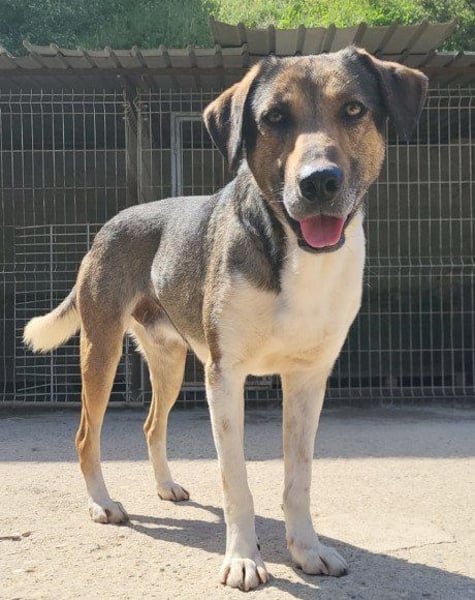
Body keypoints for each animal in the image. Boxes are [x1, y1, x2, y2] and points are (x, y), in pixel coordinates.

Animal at [24, 47, 427, 590]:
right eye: (274, 117)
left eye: (353, 109)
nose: (319, 182)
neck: (292, 255)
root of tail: (108, 225)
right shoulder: (224, 377)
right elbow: (236, 480)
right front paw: (242, 559)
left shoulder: (308, 378)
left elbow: (299, 477)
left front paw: (307, 549)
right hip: (102, 350)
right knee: (87, 434)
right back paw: (103, 504)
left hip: (170, 362)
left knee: (152, 424)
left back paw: (166, 486)